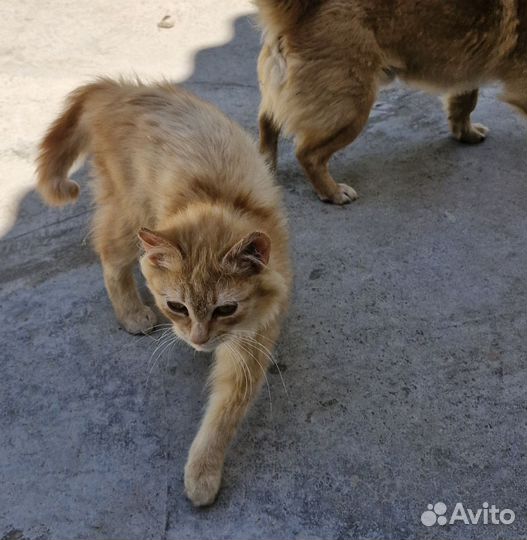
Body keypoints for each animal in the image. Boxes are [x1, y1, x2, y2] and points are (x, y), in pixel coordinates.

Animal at [37, 79, 292, 506]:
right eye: (176, 306)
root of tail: (115, 89)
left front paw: (203, 469)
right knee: (109, 257)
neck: (216, 198)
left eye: (225, 310)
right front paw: (203, 475)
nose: (199, 340)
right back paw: (130, 313)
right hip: (130, 219)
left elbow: (224, 414)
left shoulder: (251, 340)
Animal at [256, 0, 527, 205]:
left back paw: (266, 165)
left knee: (268, 123)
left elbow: (464, 104)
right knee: (308, 154)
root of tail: (301, 14)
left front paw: (466, 133)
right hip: (352, 110)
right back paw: (332, 191)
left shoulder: (466, 73)